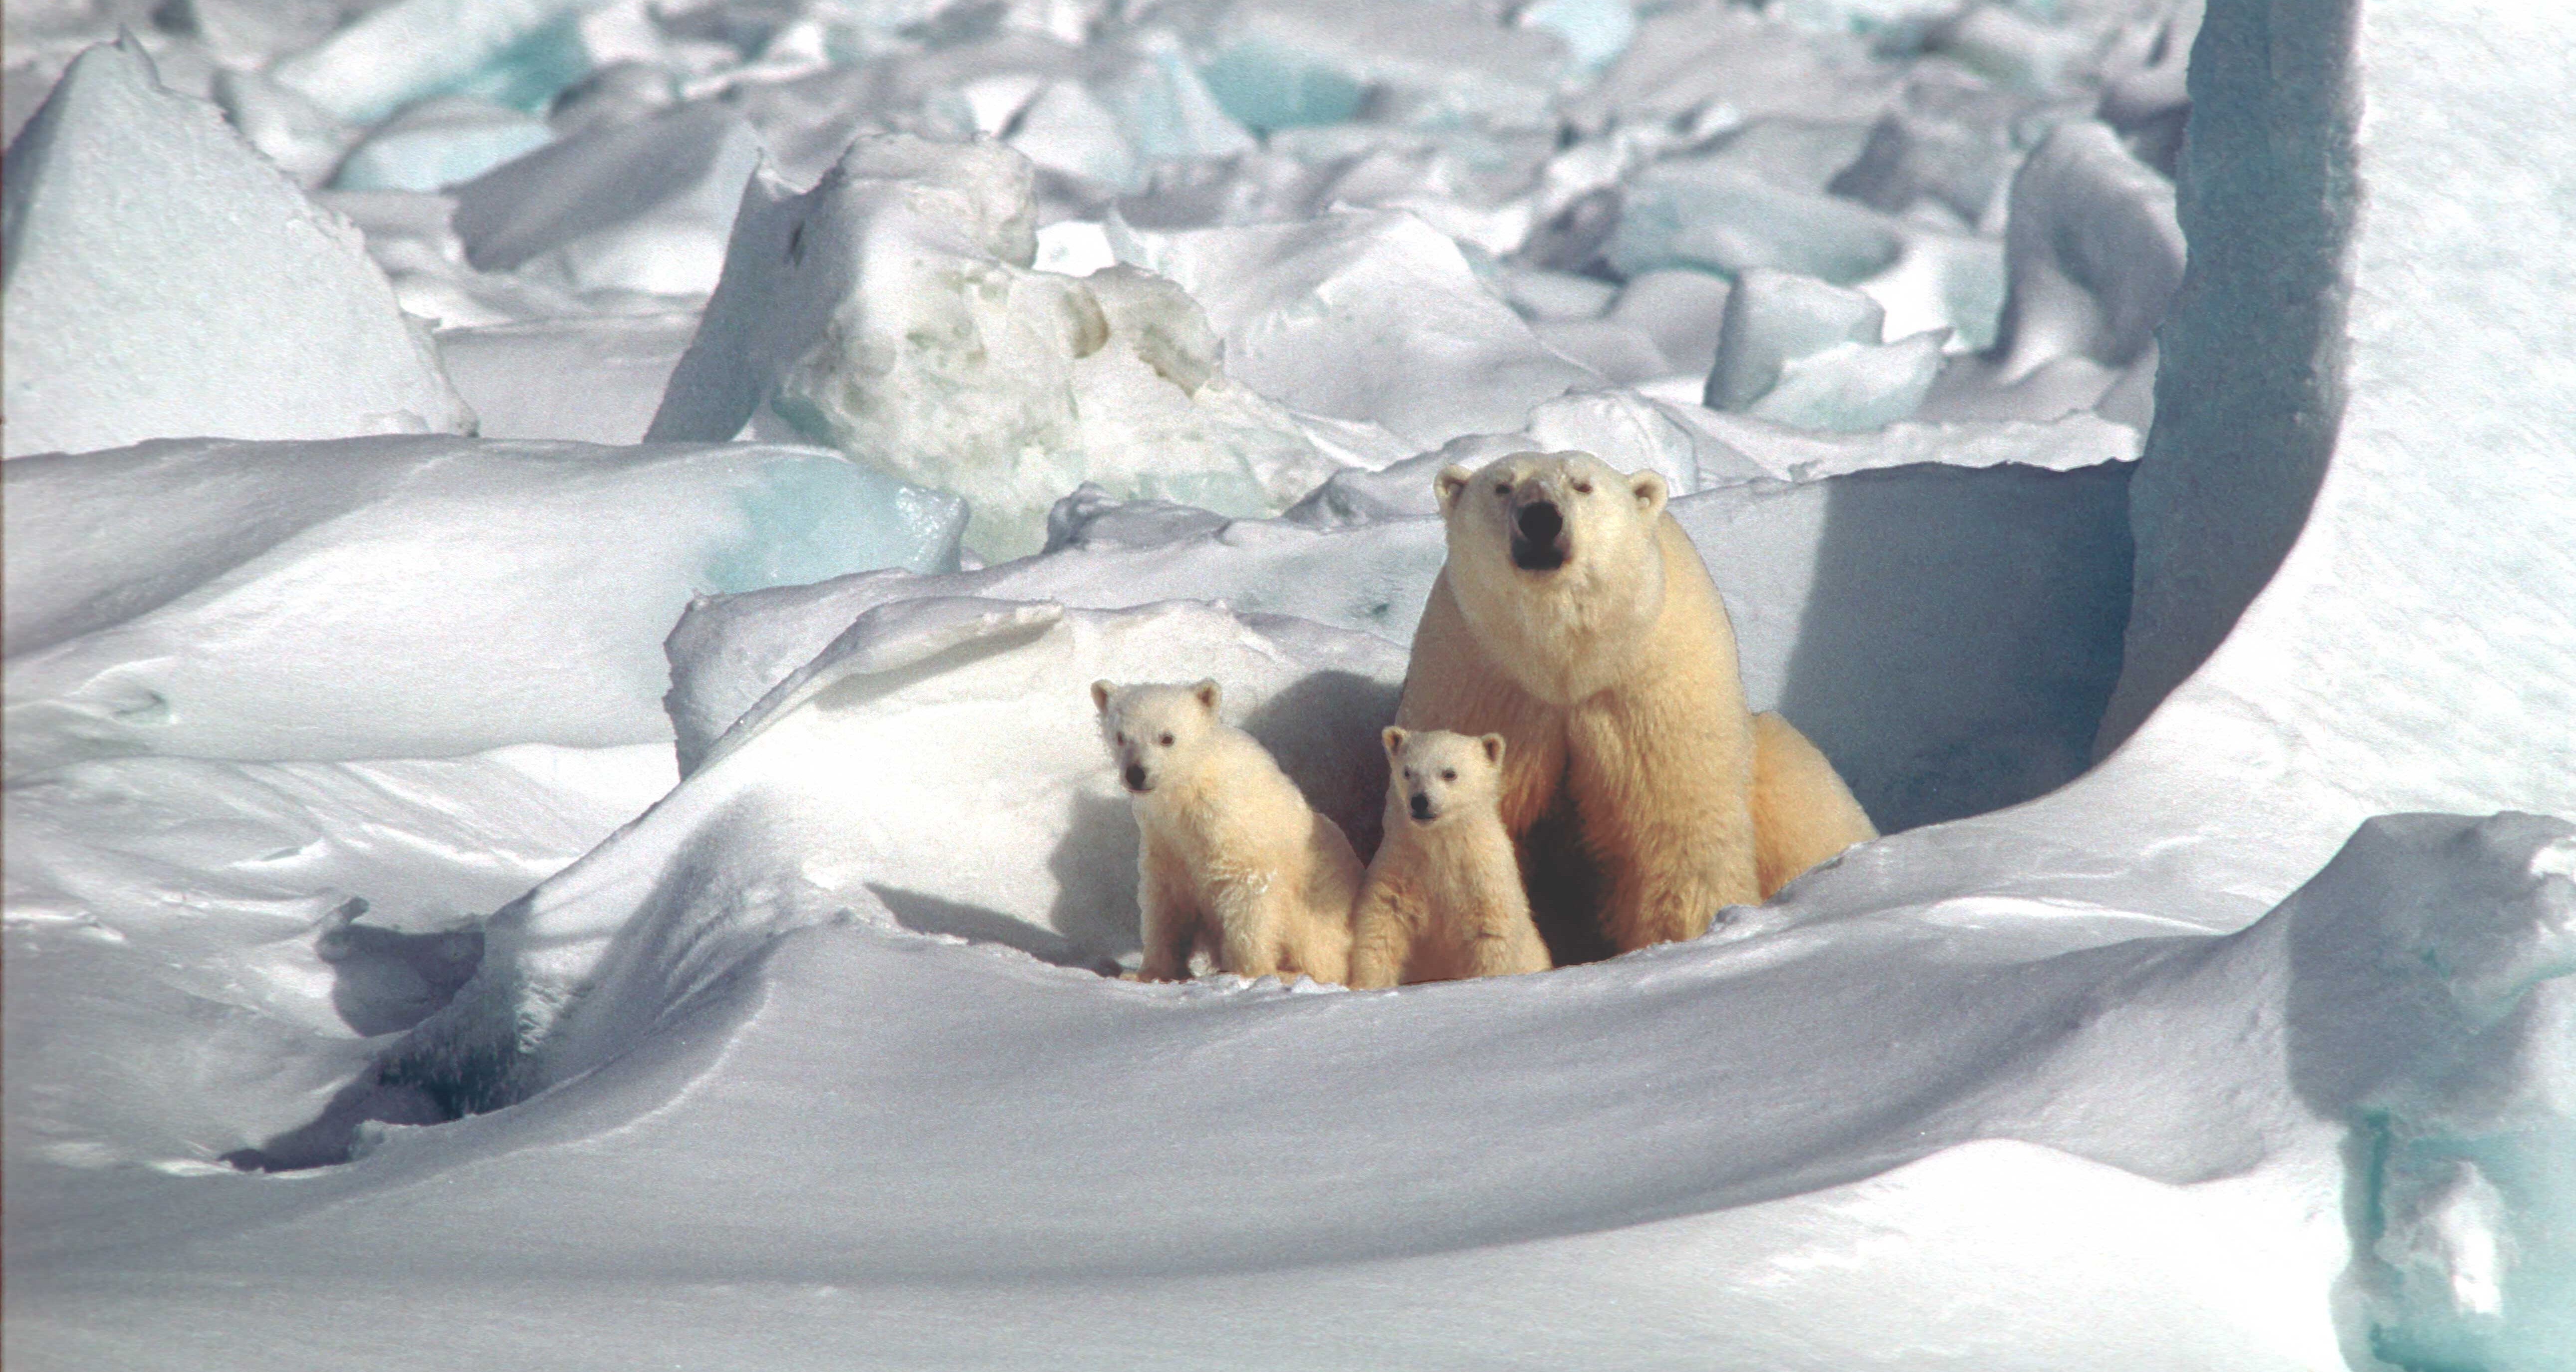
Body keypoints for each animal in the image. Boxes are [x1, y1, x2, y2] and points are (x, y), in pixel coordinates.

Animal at [1401, 450, 1885, 952]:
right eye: (1502, 486)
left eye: (1582, 485)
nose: (1540, 518)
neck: (1566, 665)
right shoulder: (1484, 684)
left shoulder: (1649, 689)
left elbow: (1673, 833)